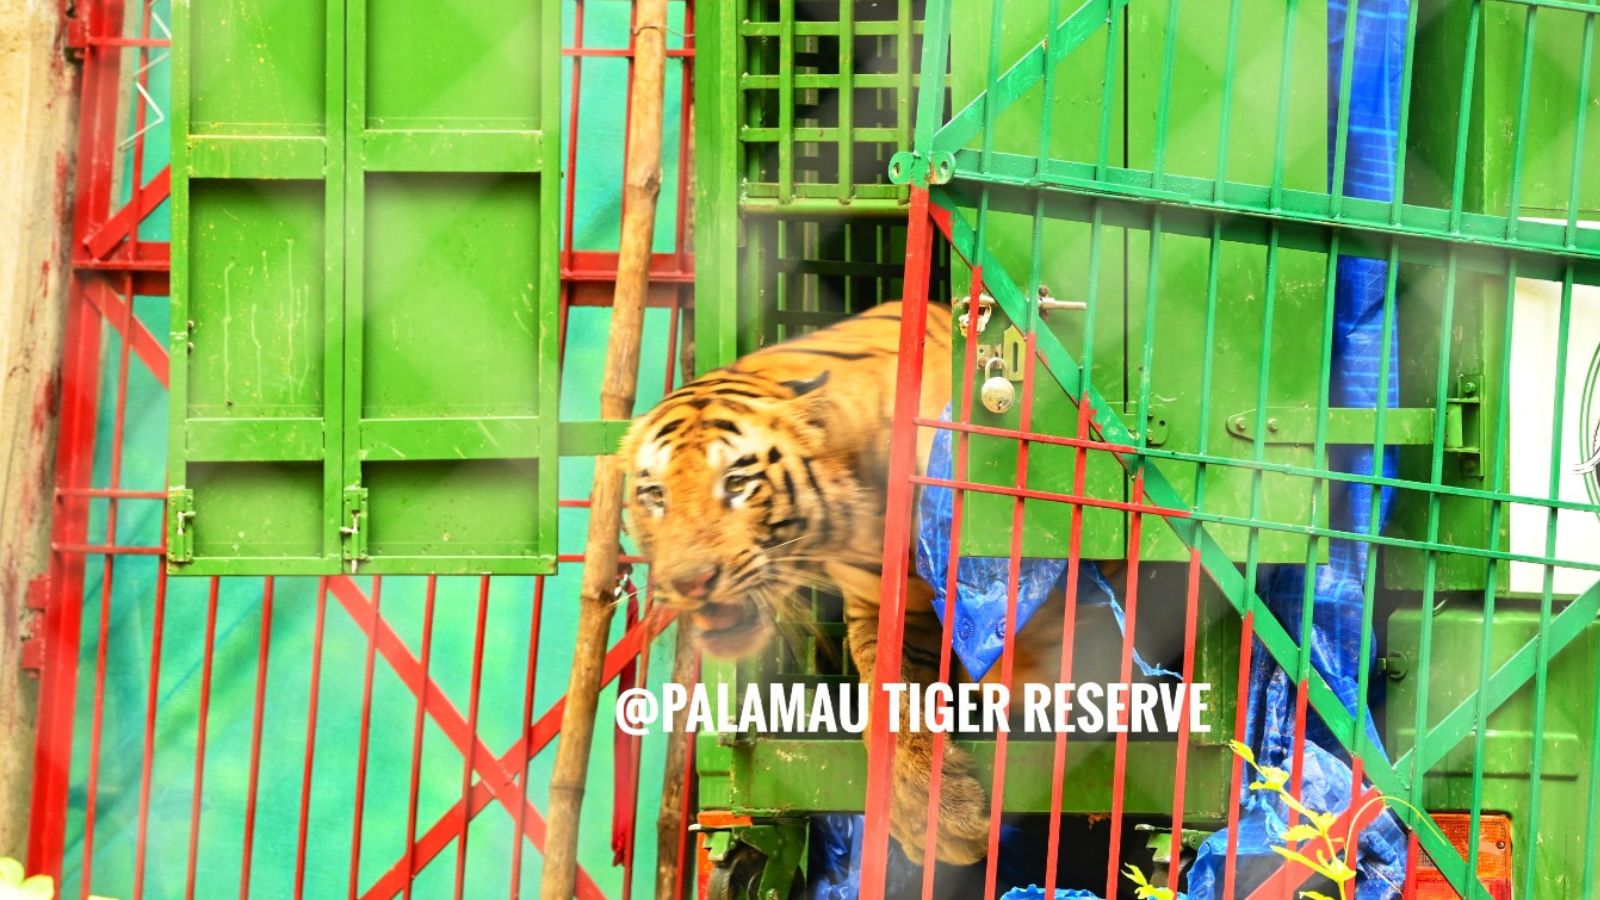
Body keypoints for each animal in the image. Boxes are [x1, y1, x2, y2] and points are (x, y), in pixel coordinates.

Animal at [620, 301, 997, 865]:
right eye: (655, 495)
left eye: (736, 483)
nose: (691, 582)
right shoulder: (886, 608)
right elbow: (887, 694)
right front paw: (928, 813)